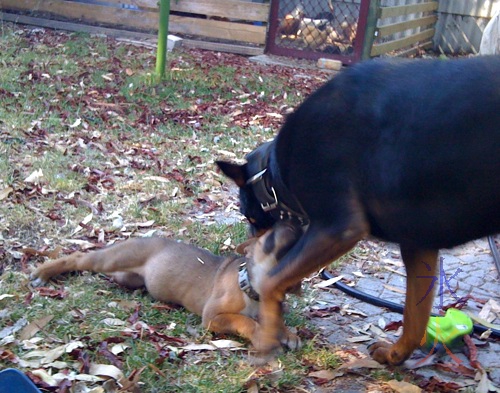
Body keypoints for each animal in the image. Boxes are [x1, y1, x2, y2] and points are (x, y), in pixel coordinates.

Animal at [33, 222, 302, 348]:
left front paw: (287, 333)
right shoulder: (212, 317)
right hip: (113, 258)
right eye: (270, 239)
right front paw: (262, 334)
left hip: (128, 278)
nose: (294, 226)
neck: (254, 292)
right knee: (79, 257)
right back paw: (43, 272)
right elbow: (245, 321)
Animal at [218, 56, 500, 364]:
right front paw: (394, 355)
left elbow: (270, 282)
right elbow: (415, 317)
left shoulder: (339, 227)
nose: (248, 245)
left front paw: (267, 340)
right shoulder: (419, 247)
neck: (275, 172)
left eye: (250, 216)